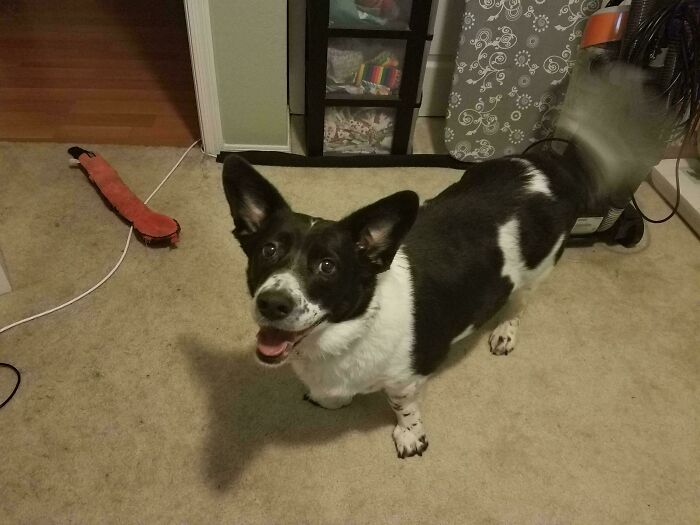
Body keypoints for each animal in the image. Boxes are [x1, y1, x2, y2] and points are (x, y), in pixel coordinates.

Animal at [221, 60, 664, 454]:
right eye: (268, 250)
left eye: (327, 266)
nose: (272, 304)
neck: (347, 333)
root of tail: (549, 165)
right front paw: (332, 400)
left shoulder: (407, 379)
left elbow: (403, 406)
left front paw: (410, 436)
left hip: (538, 271)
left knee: (519, 305)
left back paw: (505, 332)